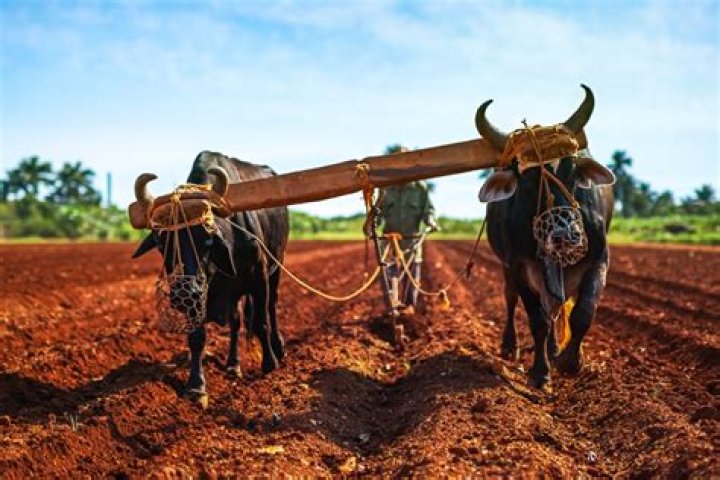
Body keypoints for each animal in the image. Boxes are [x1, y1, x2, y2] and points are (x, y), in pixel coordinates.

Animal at [132, 151, 289, 402]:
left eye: (207, 240)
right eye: (162, 244)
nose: (184, 291)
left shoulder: (259, 276)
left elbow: (261, 321)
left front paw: (269, 363)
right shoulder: (199, 299)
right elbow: (197, 338)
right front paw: (196, 385)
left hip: (277, 266)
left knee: (271, 307)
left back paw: (278, 346)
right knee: (236, 321)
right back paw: (233, 364)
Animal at [476, 85, 615, 391]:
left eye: (572, 170)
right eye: (527, 178)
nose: (566, 235)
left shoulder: (599, 261)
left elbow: (582, 314)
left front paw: (571, 361)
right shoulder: (520, 267)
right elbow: (537, 321)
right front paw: (540, 372)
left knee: (556, 309)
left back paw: (554, 350)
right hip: (508, 269)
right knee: (513, 299)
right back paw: (511, 345)